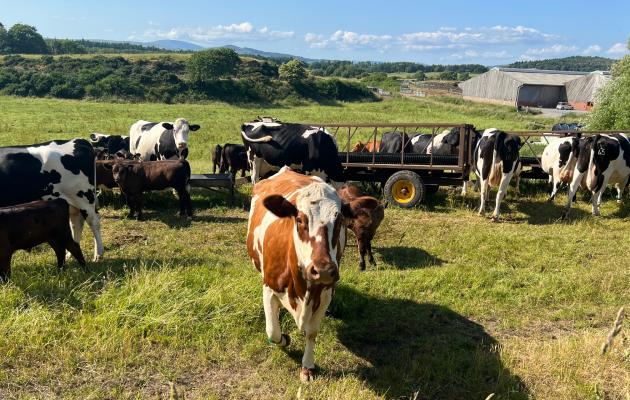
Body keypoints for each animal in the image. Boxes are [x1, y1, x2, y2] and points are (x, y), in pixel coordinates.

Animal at [247, 167, 366, 382]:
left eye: (339, 221)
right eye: (300, 219)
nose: (323, 270)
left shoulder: (325, 293)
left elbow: (311, 332)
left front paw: (307, 366)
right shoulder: (269, 288)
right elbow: (273, 331)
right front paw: (285, 339)